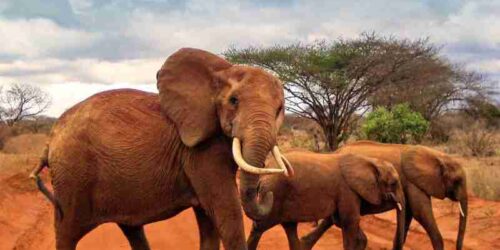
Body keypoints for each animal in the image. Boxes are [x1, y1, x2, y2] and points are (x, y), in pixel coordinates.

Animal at [29, 48, 292, 250]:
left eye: (279, 109)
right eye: (234, 101)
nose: (267, 192)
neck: (220, 72)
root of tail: (50, 139)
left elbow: (208, 219)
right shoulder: (200, 151)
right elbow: (226, 211)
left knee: (132, 229)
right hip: (73, 175)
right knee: (67, 232)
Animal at [246, 150, 406, 250]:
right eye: (393, 183)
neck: (371, 161)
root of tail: (266, 169)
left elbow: (341, 221)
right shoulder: (347, 191)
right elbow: (350, 221)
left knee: (289, 228)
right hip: (273, 196)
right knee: (259, 227)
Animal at [306, 141, 466, 250]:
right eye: (457, 181)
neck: (437, 156)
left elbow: (408, 214)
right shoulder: (413, 182)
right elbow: (420, 212)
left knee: (333, 218)